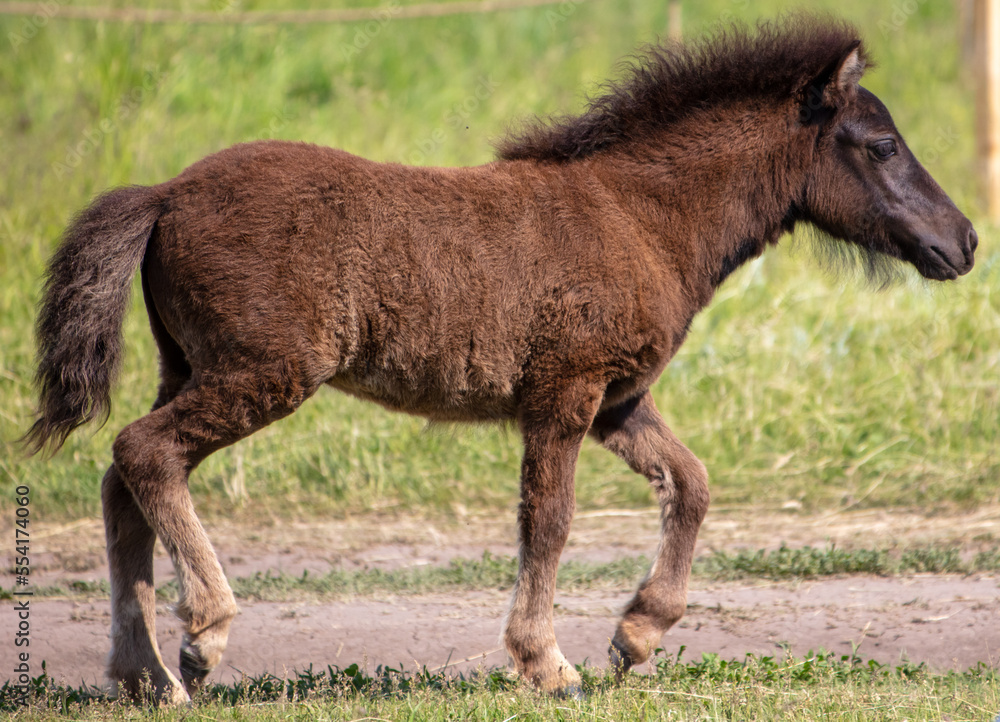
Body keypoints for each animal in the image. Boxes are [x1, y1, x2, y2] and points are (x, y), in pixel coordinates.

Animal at [25, 16, 976, 702]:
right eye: (882, 146)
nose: (964, 241)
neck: (641, 216)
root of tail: (165, 193)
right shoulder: (566, 389)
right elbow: (548, 522)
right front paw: (548, 664)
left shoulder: (619, 399)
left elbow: (693, 484)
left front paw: (636, 634)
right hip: (262, 372)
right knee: (143, 453)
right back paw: (203, 638)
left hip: (189, 366)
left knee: (122, 483)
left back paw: (144, 674)